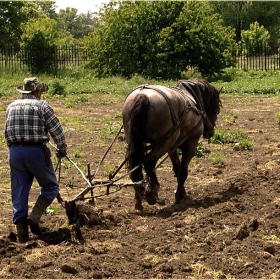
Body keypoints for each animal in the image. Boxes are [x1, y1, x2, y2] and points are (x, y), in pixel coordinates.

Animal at [122, 77, 221, 209]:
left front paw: (182, 192)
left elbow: (177, 168)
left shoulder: (172, 147)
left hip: (136, 143)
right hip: (164, 143)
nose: (210, 131)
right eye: (216, 108)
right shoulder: (191, 143)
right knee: (149, 162)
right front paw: (179, 195)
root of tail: (143, 95)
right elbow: (183, 171)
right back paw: (152, 194)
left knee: (135, 166)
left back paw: (139, 199)